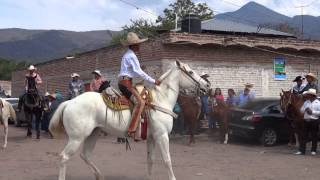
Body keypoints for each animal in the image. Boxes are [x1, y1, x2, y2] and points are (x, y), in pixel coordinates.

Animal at [48, 60, 210, 180]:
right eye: (190, 72)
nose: (207, 85)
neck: (160, 99)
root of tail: (70, 102)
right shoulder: (162, 135)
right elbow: (167, 160)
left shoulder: (151, 137)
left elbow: (150, 160)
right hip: (77, 138)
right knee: (64, 157)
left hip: (93, 133)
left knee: (85, 155)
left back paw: (99, 175)